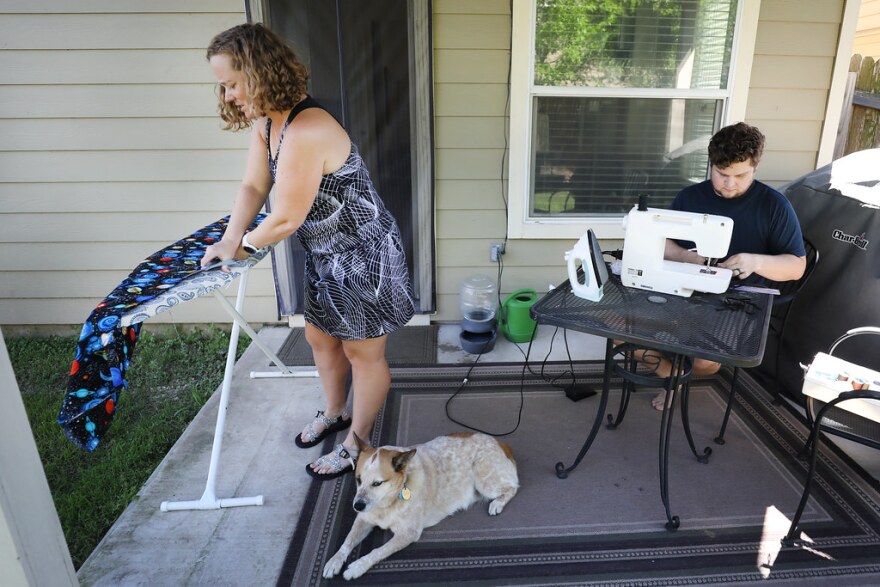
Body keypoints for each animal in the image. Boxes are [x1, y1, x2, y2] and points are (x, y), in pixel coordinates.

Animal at [322, 430, 516, 580]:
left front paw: (357, 567)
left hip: (485, 483)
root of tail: (500, 442)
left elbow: (378, 551)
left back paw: (497, 503)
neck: (390, 501)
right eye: (358, 480)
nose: (357, 506)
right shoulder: (364, 518)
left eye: (377, 483)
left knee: (513, 487)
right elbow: (347, 540)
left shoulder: (408, 533)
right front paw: (334, 560)